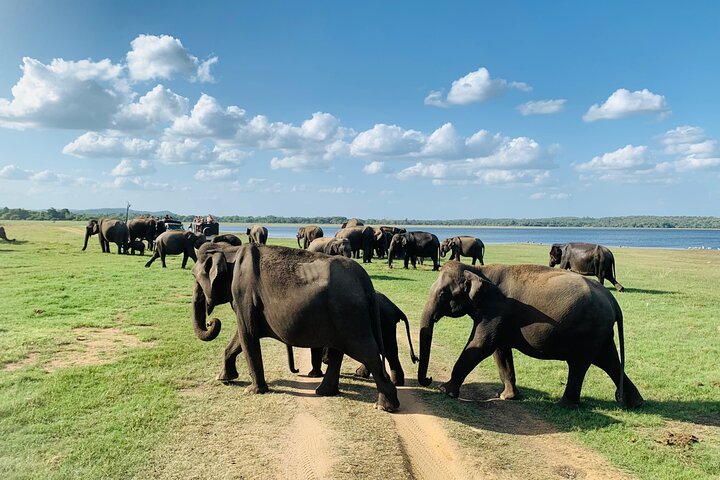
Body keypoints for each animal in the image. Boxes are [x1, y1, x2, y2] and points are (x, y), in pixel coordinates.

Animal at [190, 242, 400, 411]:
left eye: (195, 276)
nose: (211, 321)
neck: (229, 250)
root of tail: (366, 282)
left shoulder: (243, 293)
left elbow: (247, 334)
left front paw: (252, 391)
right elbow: (240, 337)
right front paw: (224, 378)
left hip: (349, 315)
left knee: (367, 352)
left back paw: (385, 406)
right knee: (339, 352)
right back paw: (324, 392)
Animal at [288, 292, 418, 386]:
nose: (297, 370)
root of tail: (396, 309)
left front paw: (313, 375)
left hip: (384, 323)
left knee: (387, 350)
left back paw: (394, 382)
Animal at [417, 261, 644, 409]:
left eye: (443, 294)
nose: (429, 379)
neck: (479, 271)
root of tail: (613, 301)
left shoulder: (495, 310)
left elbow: (481, 345)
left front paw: (445, 391)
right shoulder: (501, 318)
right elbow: (500, 351)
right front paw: (506, 397)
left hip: (589, 331)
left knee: (580, 364)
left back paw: (564, 405)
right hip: (601, 333)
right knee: (609, 361)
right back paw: (635, 403)